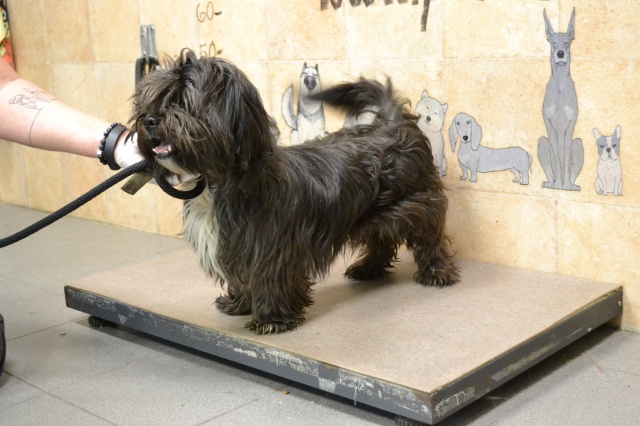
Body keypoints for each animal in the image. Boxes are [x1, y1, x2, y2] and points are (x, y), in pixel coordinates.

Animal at [130, 49, 460, 335]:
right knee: (382, 239)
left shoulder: (271, 247)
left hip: (418, 203)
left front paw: (272, 319)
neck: (221, 182)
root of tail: (392, 123)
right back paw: (368, 268)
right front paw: (240, 303)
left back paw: (436, 271)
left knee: (429, 237)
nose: (149, 120)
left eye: (183, 102)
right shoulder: (235, 246)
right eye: (151, 99)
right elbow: (242, 276)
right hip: (372, 212)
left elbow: (269, 277)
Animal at [538, 8, 584, 191]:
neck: (560, 87)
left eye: (567, 43)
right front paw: (558, 184)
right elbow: (558, 158)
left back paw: (570, 185)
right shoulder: (549, 125)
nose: (560, 54)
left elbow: (564, 155)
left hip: (578, 144)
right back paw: (552, 183)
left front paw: (565, 185)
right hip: (541, 142)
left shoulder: (571, 125)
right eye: (554, 43)